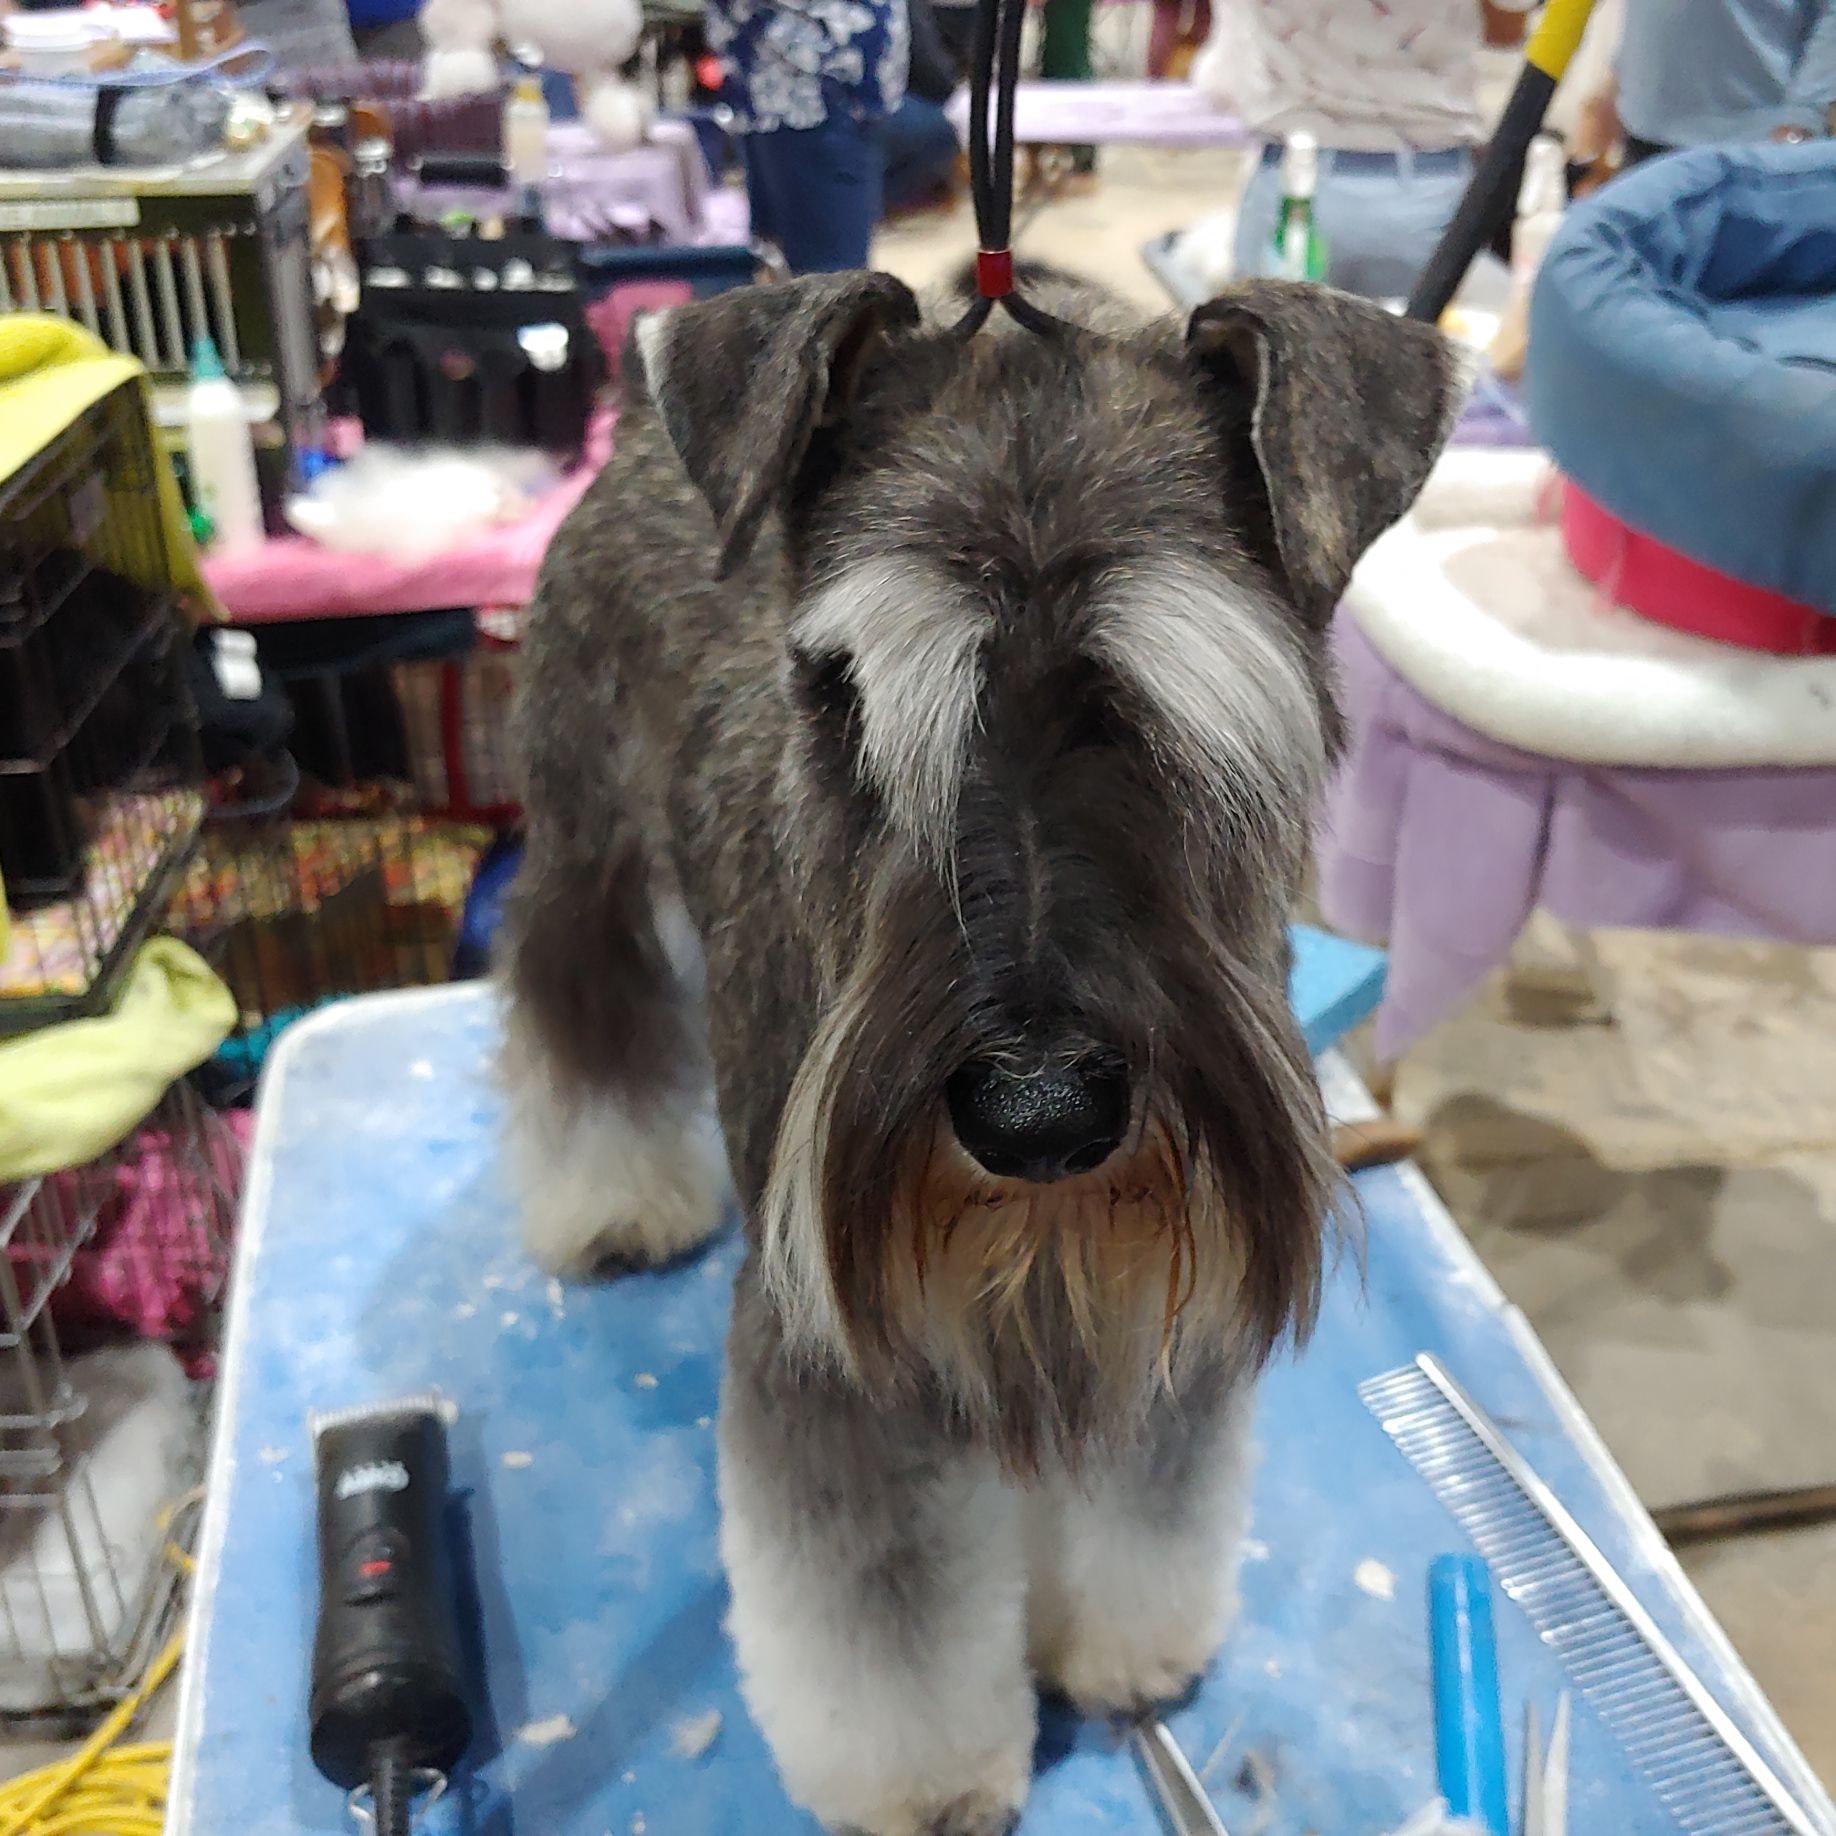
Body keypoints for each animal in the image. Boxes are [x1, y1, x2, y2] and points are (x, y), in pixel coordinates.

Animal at [502, 267, 1464, 1836]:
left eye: (1199, 715)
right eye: (841, 697)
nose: (1039, 1110)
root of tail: (638, 445)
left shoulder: (1168, 1296)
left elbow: (1147, 1503)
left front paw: (1123, 1648)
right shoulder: (832, 1351)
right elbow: (877, 1603)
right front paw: (925, 1779)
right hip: (581, 838)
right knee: (579, 1005)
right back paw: (611, 1197)